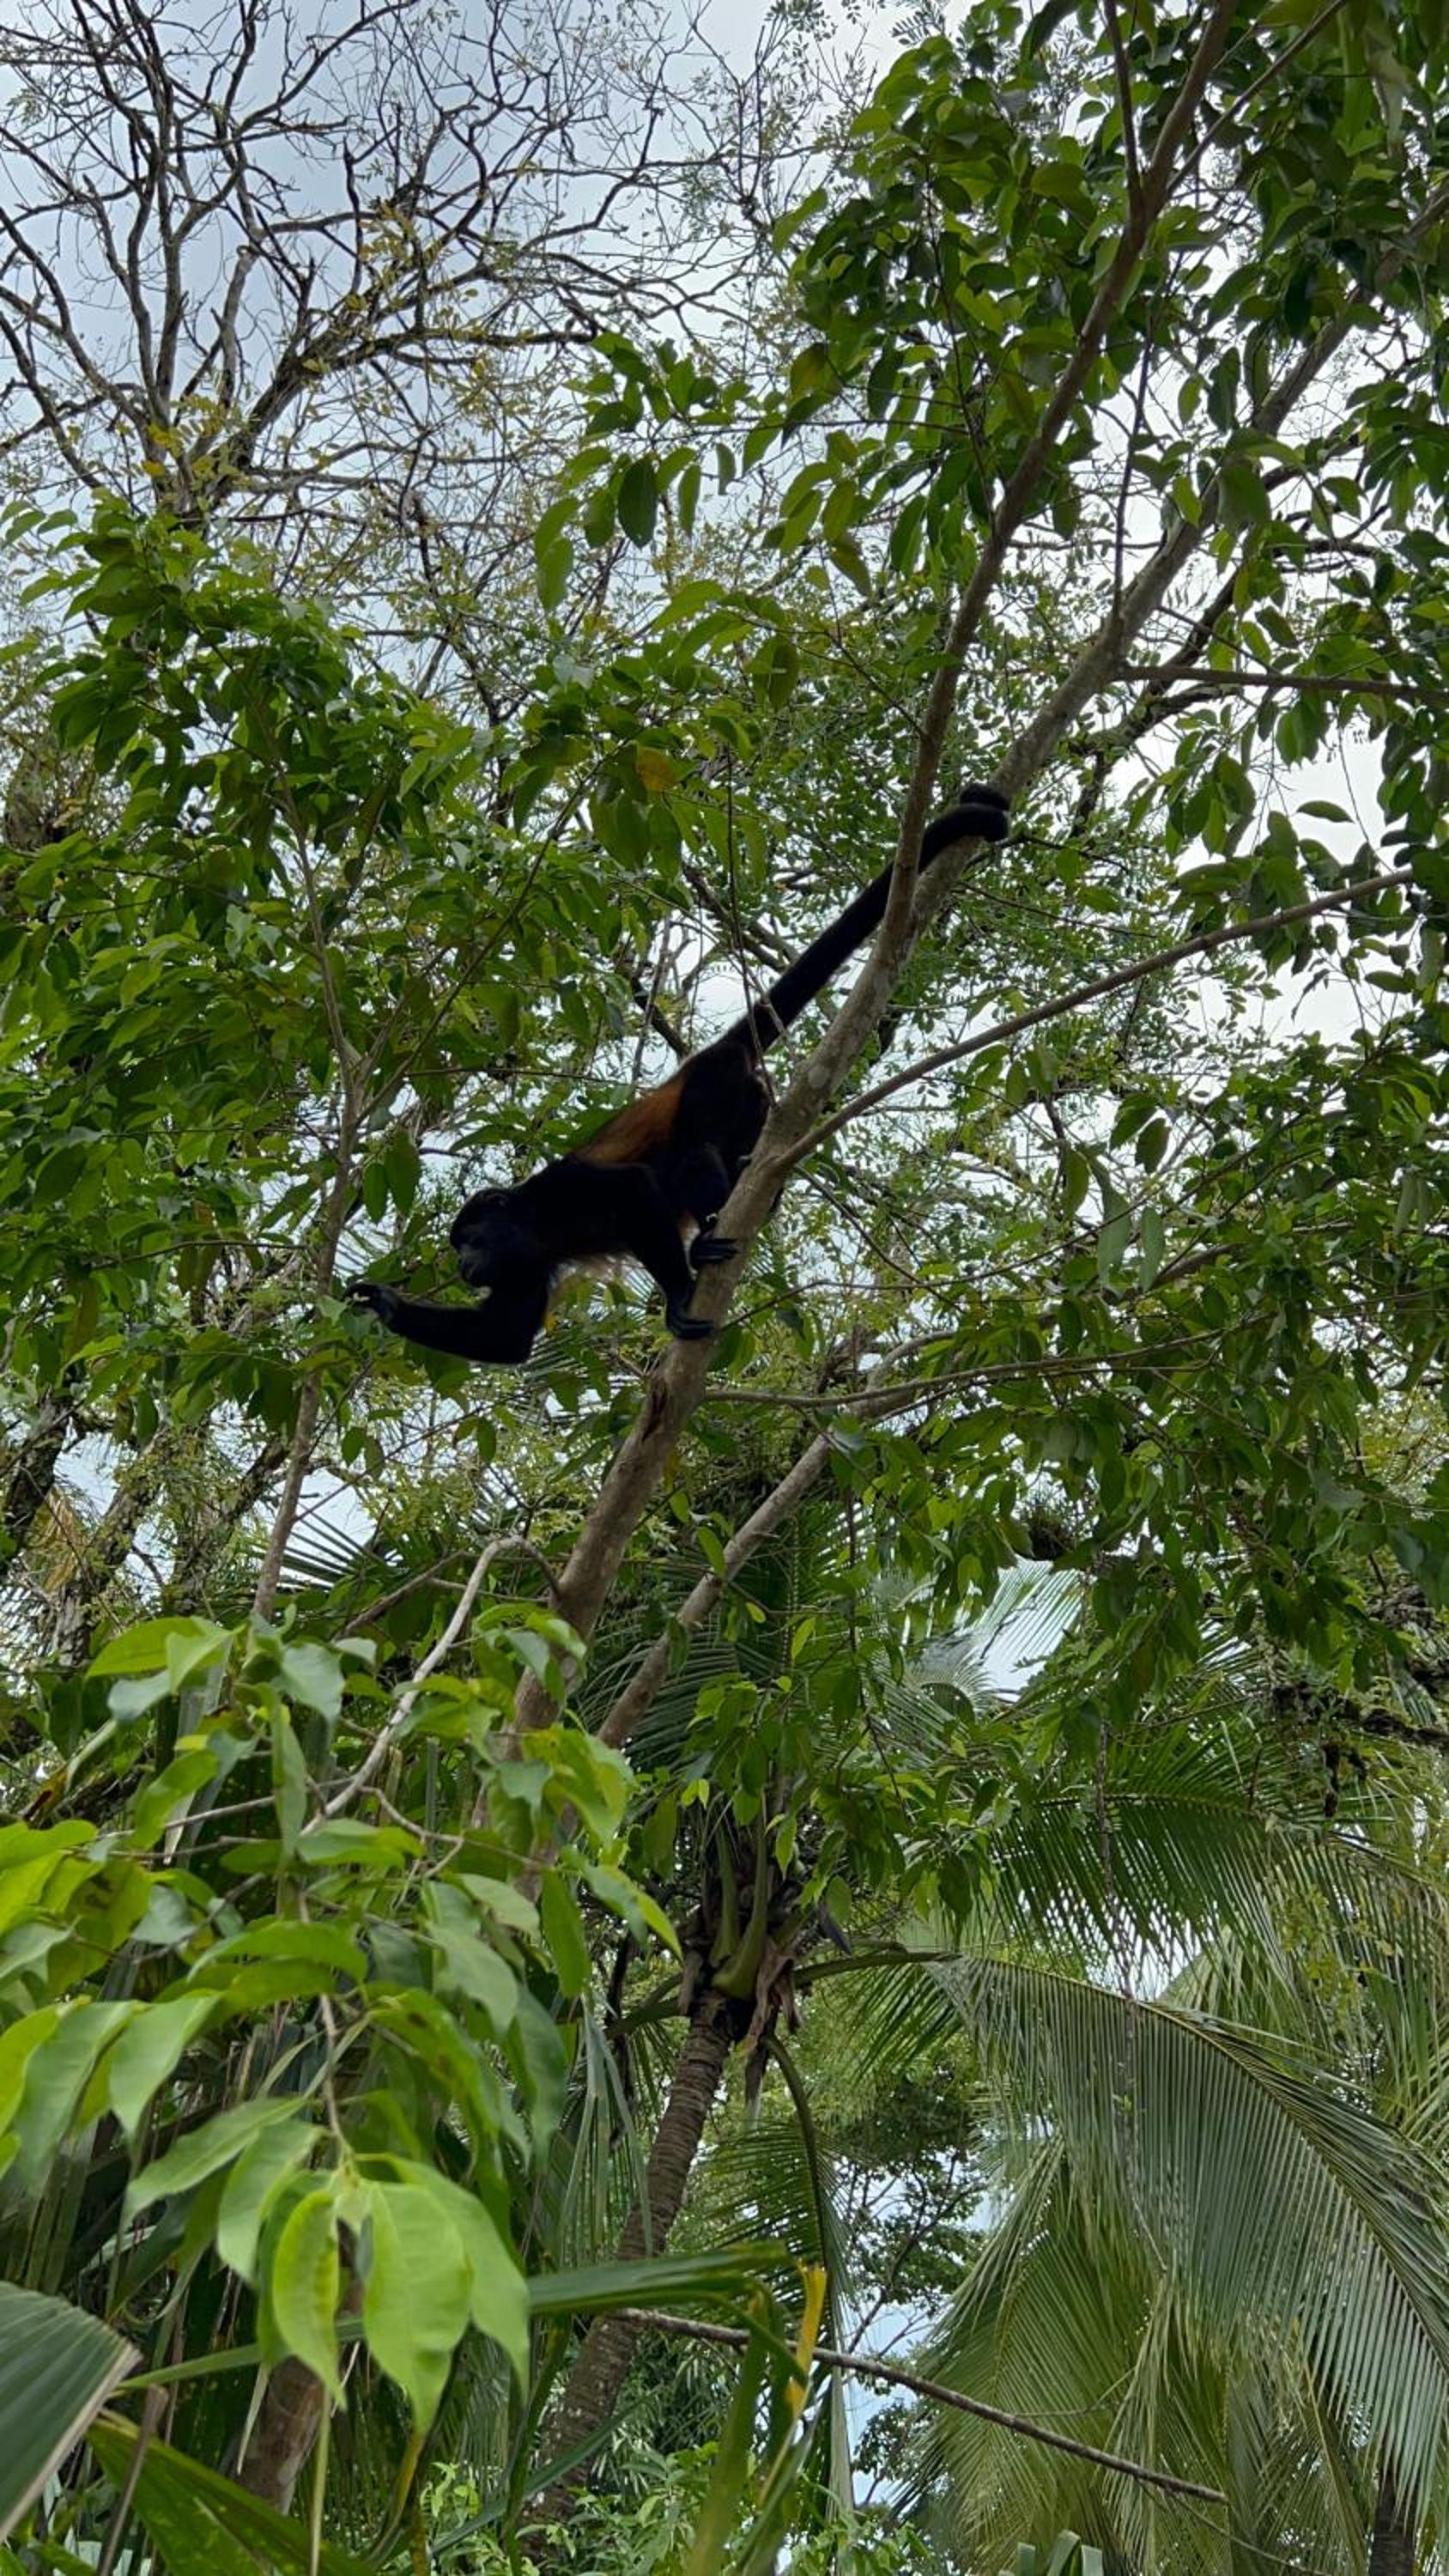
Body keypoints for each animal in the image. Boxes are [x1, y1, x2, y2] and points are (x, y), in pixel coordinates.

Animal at [350, 783, 1011, 1364]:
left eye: (471, 1238)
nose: (464, 1266)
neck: (533, 1224)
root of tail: (710, 1052)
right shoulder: (524, 1266)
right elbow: (506, 1339)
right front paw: (384, 1303)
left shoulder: (561, 1189)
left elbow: (634, 1187)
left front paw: (675, 1295)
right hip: (754, 1105)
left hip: (717, 1085)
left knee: (692, 1154)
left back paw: (711, 1235)